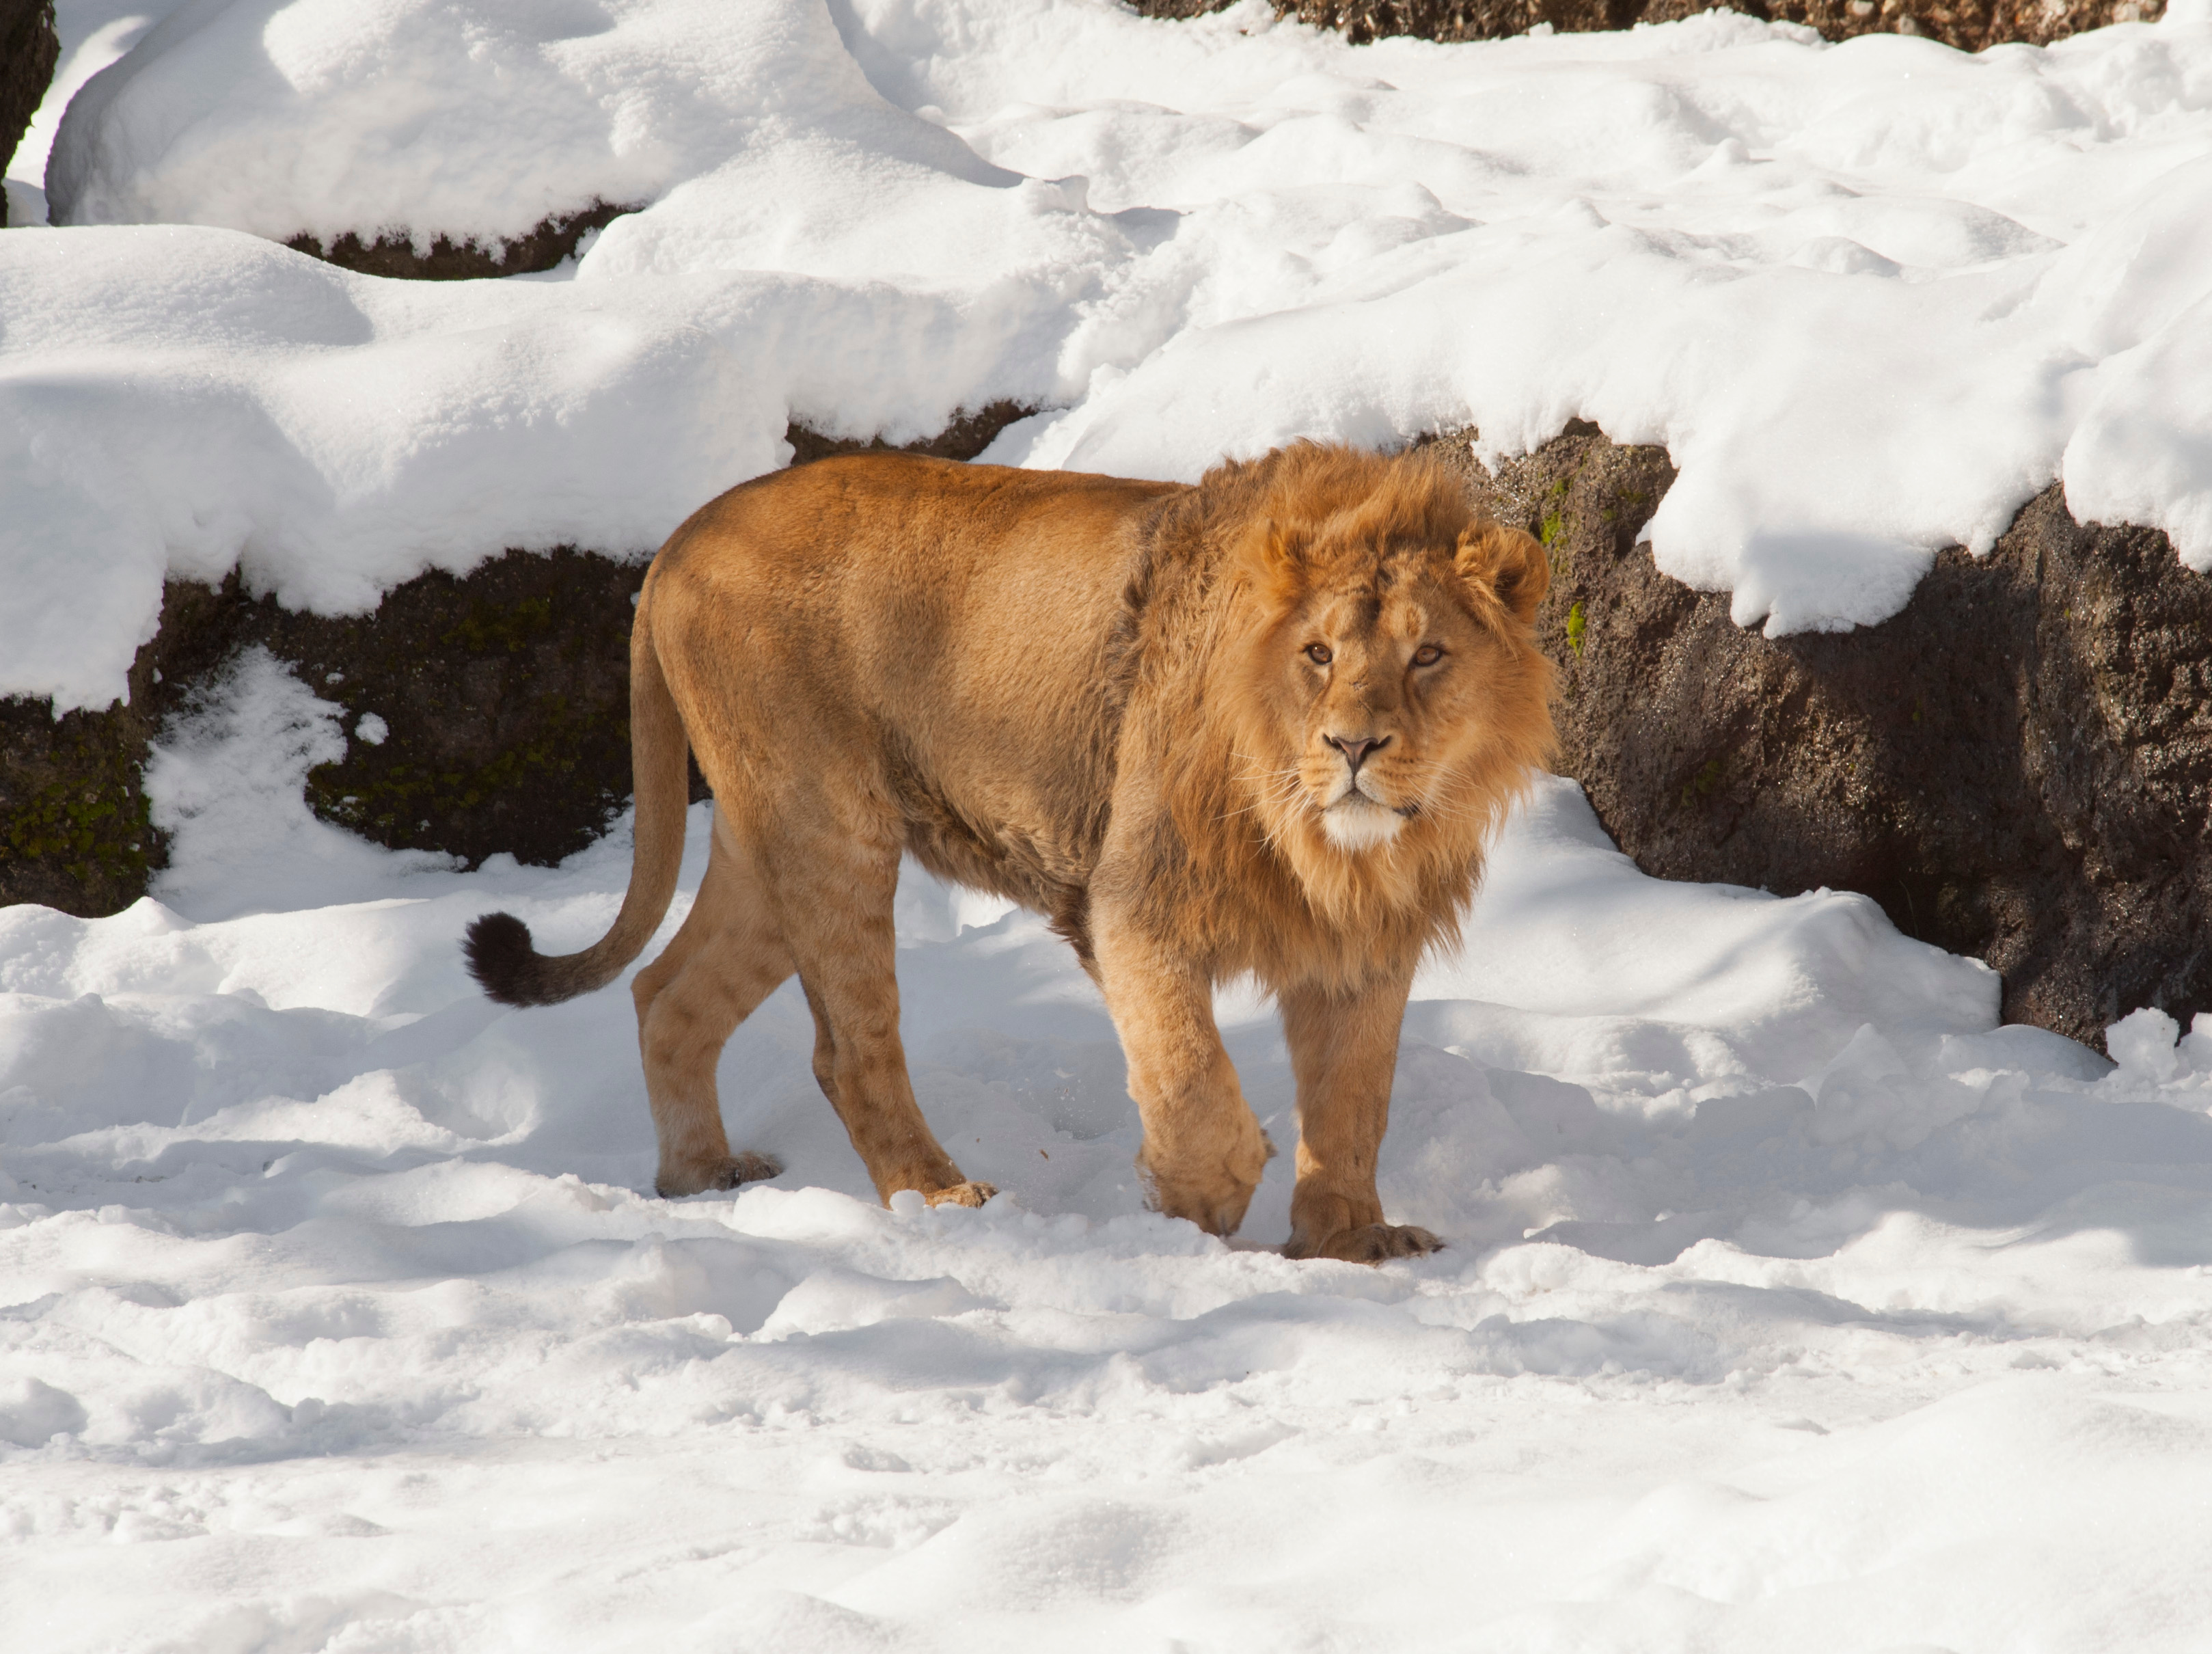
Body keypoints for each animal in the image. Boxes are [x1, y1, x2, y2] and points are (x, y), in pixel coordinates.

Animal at [458, 433, 1548, 1256]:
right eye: (1318, 653)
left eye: (1429, 654)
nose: (1354, 746)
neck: (1331, 849)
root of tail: (681, 537)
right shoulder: (1128, 904)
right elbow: (1189, 1074)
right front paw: (1199, 1205)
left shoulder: (1365, 944)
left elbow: (1354, 1100)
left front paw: (1350, 1240)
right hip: (831, 826)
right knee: (845, 1048)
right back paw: (938, 1197)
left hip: (769, 840)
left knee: (667, 992)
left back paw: (699, 1176)